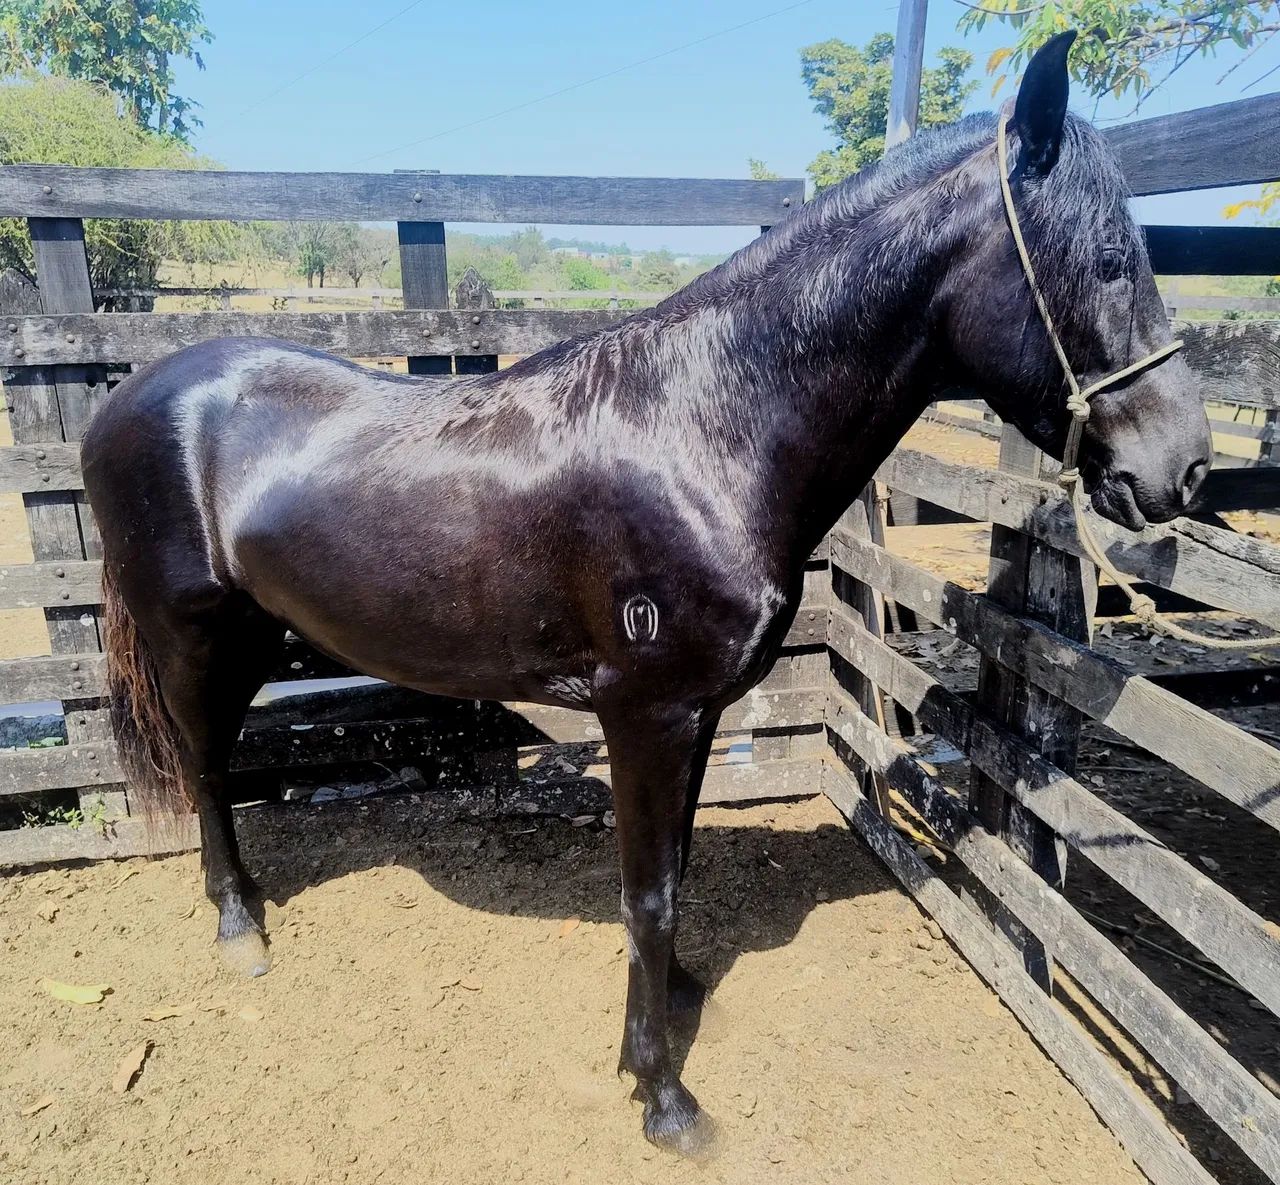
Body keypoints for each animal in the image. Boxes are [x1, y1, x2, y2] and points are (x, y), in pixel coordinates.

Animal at [82, 32, 1211, 1154]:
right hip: (192, 637)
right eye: (1110, 262)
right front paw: (663, 1094)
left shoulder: (695, 714)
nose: (1184, 469)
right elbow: (649, 894)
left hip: (249, 635)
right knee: (202, 765)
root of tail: (125, 400)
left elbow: (677, 871)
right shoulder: (645, 713)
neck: (705, 427)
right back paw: (240, 927)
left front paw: (667, 1009)